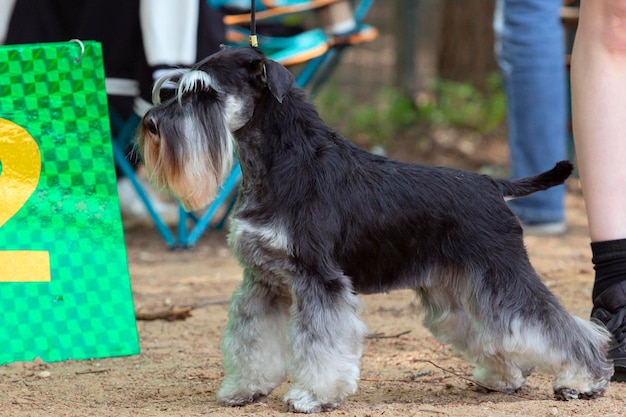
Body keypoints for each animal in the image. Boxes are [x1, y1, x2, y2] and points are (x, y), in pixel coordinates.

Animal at [136, 46, 608, 412]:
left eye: (203, 92)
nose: (150, 123)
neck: (283, 164)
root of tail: (492, 184)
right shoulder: (262, 282)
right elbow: (249, 339)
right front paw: (243, 389)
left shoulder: (319, 281)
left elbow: (320, 346)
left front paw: (313, 396)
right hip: (455, 295)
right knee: (490, 331)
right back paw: (501, 377)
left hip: (503, 275)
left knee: (558, 325)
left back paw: (583, 380)